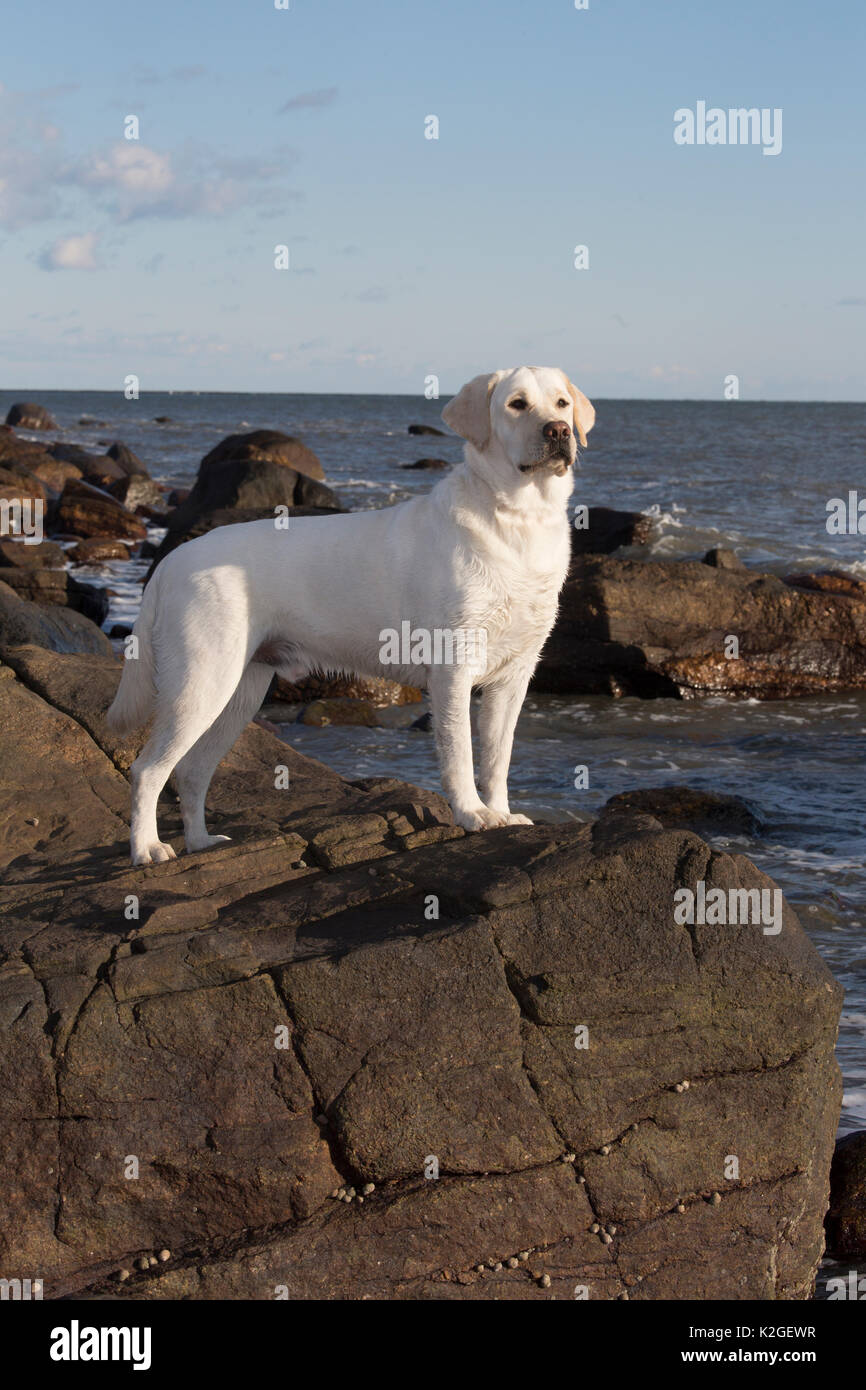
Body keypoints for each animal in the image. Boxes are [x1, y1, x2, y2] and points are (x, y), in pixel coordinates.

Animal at [107, 369, 594, 867]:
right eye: (516, 404)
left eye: (561, 403)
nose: (559, 431)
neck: (518, 516)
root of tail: (171, 561)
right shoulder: (453, 669)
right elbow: (460, 753)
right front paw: (472, 814)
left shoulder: (512, 677)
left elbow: (497, 757)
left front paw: (502, 813)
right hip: (201, 682)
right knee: (147, 769)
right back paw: (147, 849)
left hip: (240, 691)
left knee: (191, 771)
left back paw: (201, 843)